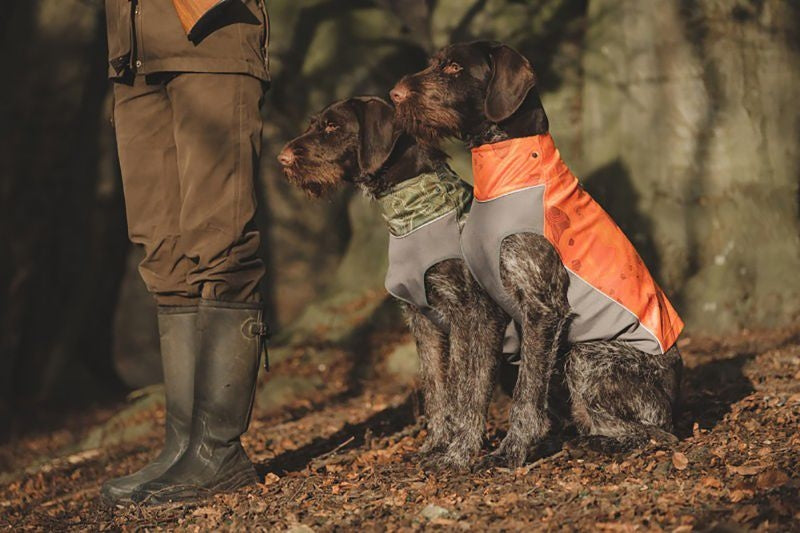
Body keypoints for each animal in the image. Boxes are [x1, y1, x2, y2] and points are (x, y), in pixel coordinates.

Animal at [277, 96, 510, 467]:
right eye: (314, 124)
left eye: (332, 126)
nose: (282, 159)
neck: (414, 213)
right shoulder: (420, 318)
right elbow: (435, 386)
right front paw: (435, 443)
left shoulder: (473, 314)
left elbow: (466, 384)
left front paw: (459, 451)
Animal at [392, 42, 685, 467]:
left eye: (454, 67)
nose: (395, 95)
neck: (506, 174)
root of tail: (677, 396)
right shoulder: (485, 314)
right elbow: (472, 388)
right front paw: (459, 453)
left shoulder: (542, 309)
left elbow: (526, 395)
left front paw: (511, 451)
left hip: (585, 357)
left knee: (656, 433)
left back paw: (595, 444)